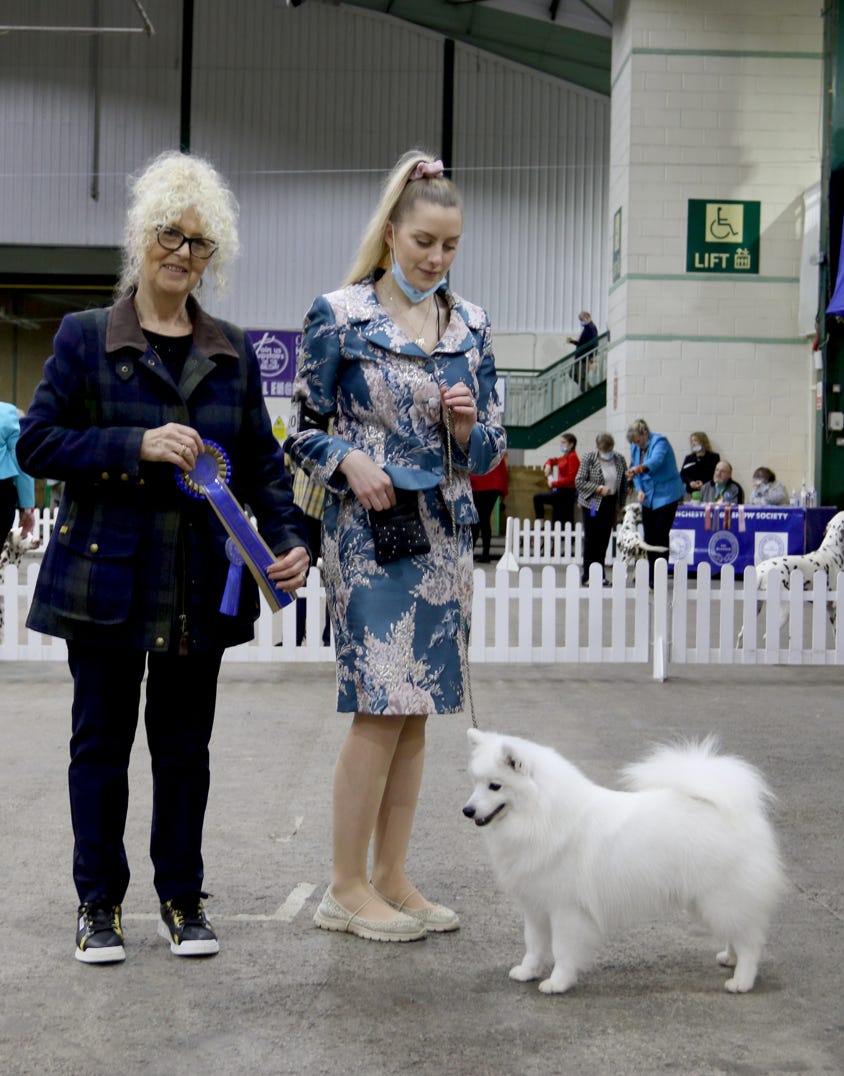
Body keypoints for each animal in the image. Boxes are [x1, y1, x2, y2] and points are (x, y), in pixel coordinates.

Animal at [463, 728, 784, 995]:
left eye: (495, 786)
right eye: (475, 784)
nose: (467, 810)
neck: (540, 817)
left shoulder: (566, 910)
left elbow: (562, 950)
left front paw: (558, 983)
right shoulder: (536, 905)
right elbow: (533, 944)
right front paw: (527, 972)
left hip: (720, 898)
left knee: (750, 942)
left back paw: (741, 980)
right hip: (709, 901)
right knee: (738, 933)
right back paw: (730, 958)